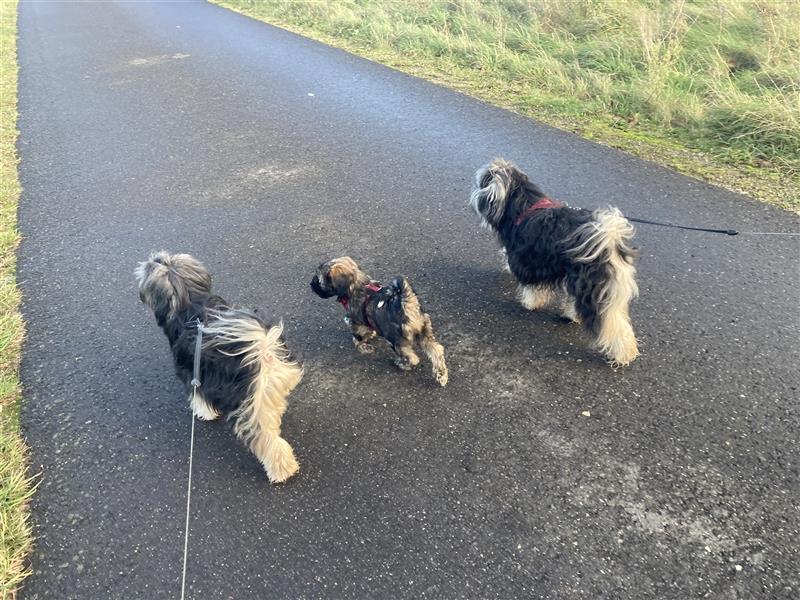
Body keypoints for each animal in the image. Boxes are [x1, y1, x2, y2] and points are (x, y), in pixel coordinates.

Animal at [135, 252, 304, 482]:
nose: (155, 257)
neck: (190, 301)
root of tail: (263, 351)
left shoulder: (193, 372)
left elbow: (198, 396)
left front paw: (204, 412)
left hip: (248, 403)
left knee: (267, 440)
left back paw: (282, 471)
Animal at [310, 256, 450, 386]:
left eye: (318, 279)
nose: (311, 285)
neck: (358, 284)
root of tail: (407, 306)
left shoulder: (358, 323)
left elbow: (358, 334)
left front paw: (363, 346)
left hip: (396, 340)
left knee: (412, 358)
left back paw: (401, 363)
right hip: (424, 333)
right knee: (436, 350)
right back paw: (441, 374)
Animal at [472, 158, 640, 366]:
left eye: (482, 181)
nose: (474, 189)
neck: (525, 206)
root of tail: (609, 240)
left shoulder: (530, 262)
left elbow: (532, 288)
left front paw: (530, 303)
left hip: (594, 289)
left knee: (612, 324)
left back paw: (622, 355)